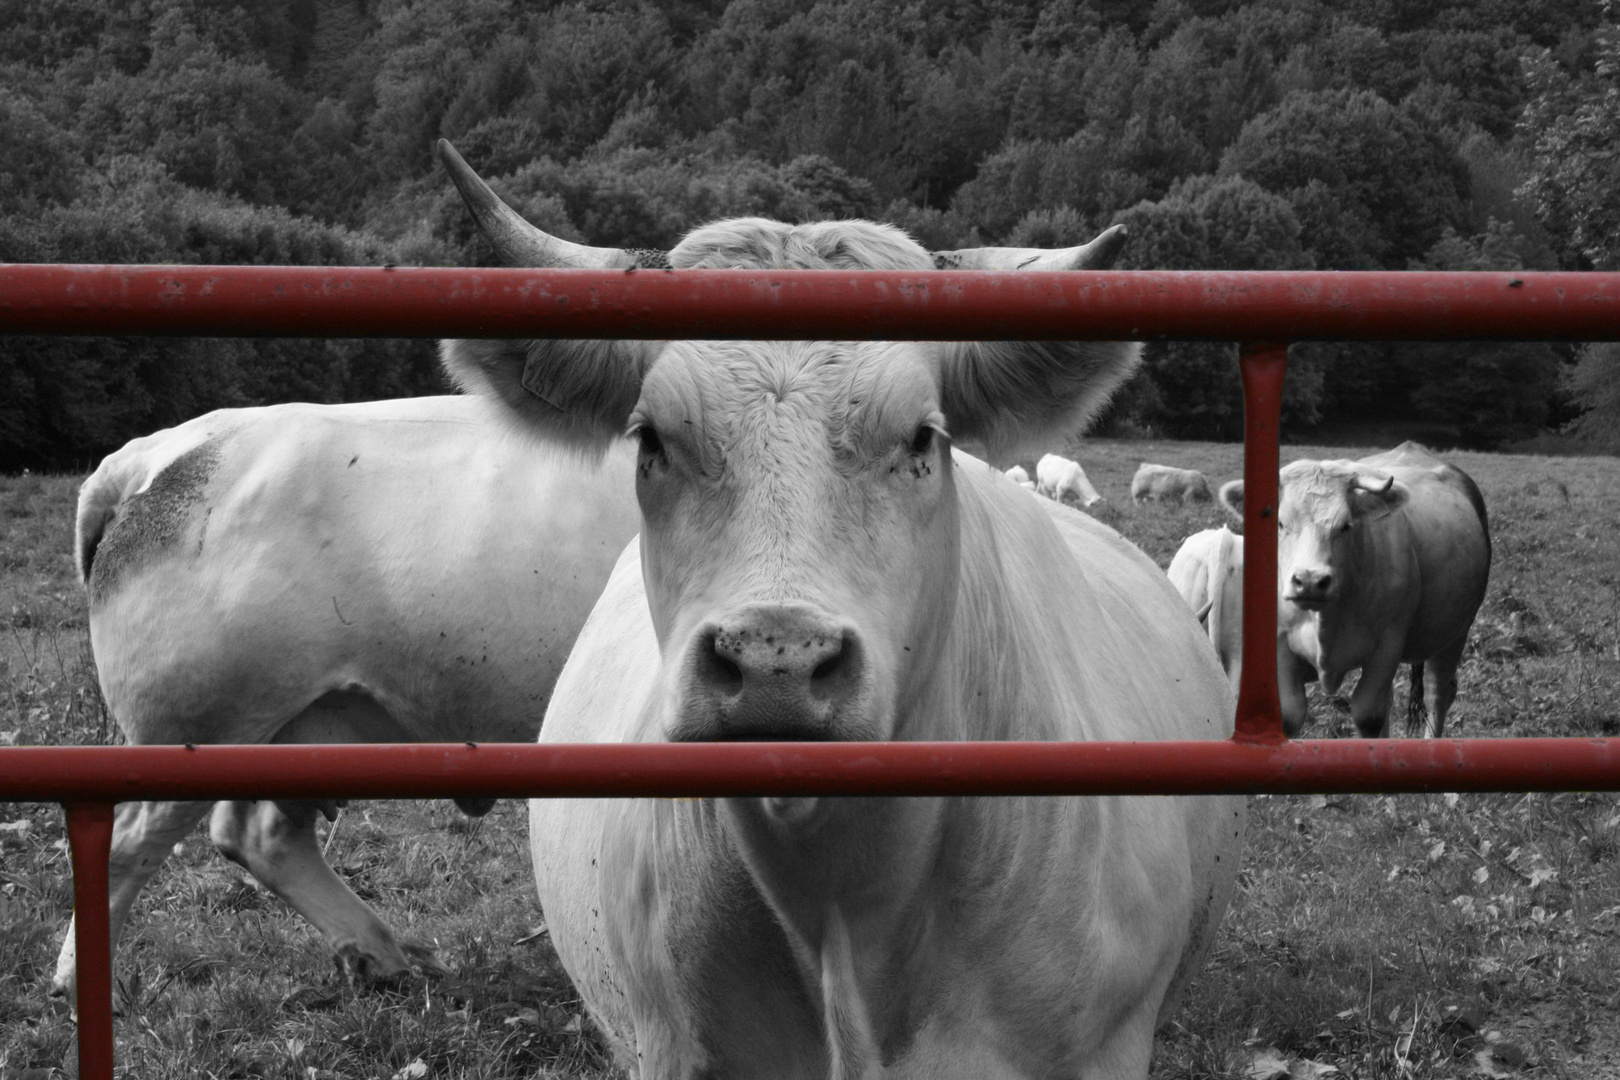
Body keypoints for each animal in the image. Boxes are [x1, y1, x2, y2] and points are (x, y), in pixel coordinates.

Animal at [53, 393, 641, 1003]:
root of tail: (164, 447)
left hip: (303, 726)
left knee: (261, 837)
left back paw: (380, 956)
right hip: (197, 726)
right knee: (125, 845)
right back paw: (80, 985)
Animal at [1218, 443, 1490, 738]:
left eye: (1346, 525)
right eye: (1280, 524)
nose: (1310, 580)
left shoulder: (1388, 645)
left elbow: (1369, 715)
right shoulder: (1280, 643)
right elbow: (1289, 715)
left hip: (1455, 633)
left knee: (1437, 694)